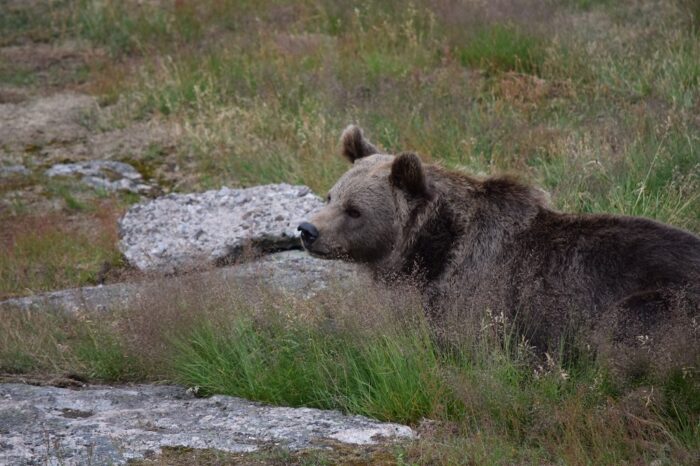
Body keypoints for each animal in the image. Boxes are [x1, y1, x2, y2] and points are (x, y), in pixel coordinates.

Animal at [298, 125, 700, 378]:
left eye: (354, 210)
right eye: (331, 196)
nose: (306, 230)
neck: (433, 253)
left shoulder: (480, 295)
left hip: (663, 302)